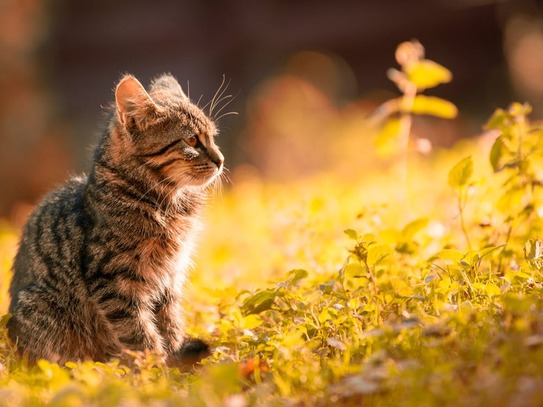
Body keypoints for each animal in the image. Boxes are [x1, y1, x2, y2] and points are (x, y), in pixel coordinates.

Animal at [6, 72, 223, 366]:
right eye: (191, 141)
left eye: (212, 137)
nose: (221, 160)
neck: (167, 204)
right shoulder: (114, 281)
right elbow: (140, 334)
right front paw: (156, 369)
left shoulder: (169, 279)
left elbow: (170, 324)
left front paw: (175, 358)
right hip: (38, 307)